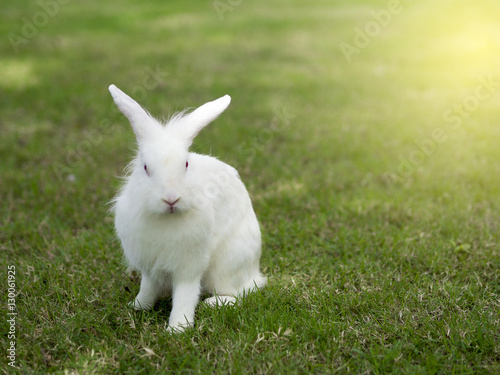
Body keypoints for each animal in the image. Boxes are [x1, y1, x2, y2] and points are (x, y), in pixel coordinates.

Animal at [108, 84, 268, 332]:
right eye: (145, 167)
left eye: (185, 165)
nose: (171, 199)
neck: (166, 218)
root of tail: (255, 272)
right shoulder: (150, 266)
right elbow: (147, 288)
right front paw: (138, 306)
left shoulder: (189, 266)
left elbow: (185, 294)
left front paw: (178, 328)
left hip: (226, 266)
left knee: (239, 293)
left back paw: (213, 303)